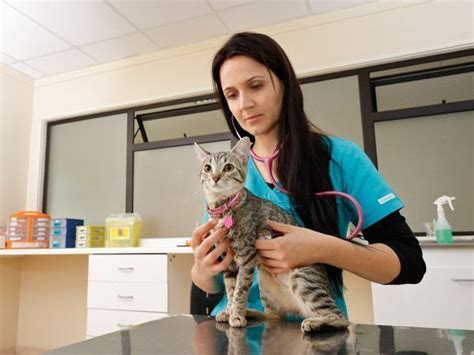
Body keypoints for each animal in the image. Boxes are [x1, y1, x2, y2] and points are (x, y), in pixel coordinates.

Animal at [194, 137, 350, 334]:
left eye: (228, 167)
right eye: (207, 168)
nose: (215, 177)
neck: (223, 209)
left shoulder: (247, 258)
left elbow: (239, 291)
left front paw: (236, 315)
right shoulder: (228, 263)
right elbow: (230, 289)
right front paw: (229, 311)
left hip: (303, 279)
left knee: (341, 318)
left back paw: (316, 322)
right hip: (266, 284)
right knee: (274, 316)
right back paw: (251, 312)